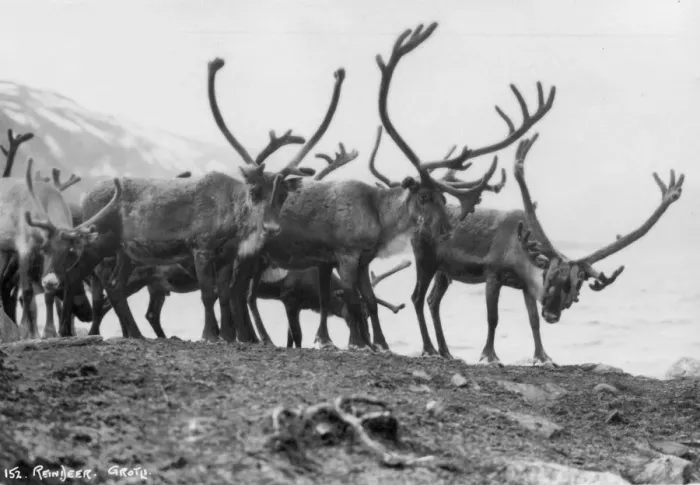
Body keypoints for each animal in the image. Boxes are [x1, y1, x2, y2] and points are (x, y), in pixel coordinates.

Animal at [214, 23, 501, 353]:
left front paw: (381, 344)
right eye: (424, 196)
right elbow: (352, 301)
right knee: (237, 292)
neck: (378, 214)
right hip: (250, 254)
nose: (446, 231)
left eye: (444, 197)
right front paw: (359, 343)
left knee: (238, 292)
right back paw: (252, 337)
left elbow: (371, 302)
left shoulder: (363, 261)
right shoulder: (346, 256)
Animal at [416, 133, 684, 366]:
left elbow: (533, 320)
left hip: (444, 270)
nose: (553, 315)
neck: (519, 252)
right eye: (549, 276)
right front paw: (489, 356)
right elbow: (493, 318)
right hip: (425, 260)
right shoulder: (493, 273)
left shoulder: (523, 285)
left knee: (432, 300)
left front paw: (543, 357)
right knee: (421, 298)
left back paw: (446, 351)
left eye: (575, 285)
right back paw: (432, 350)